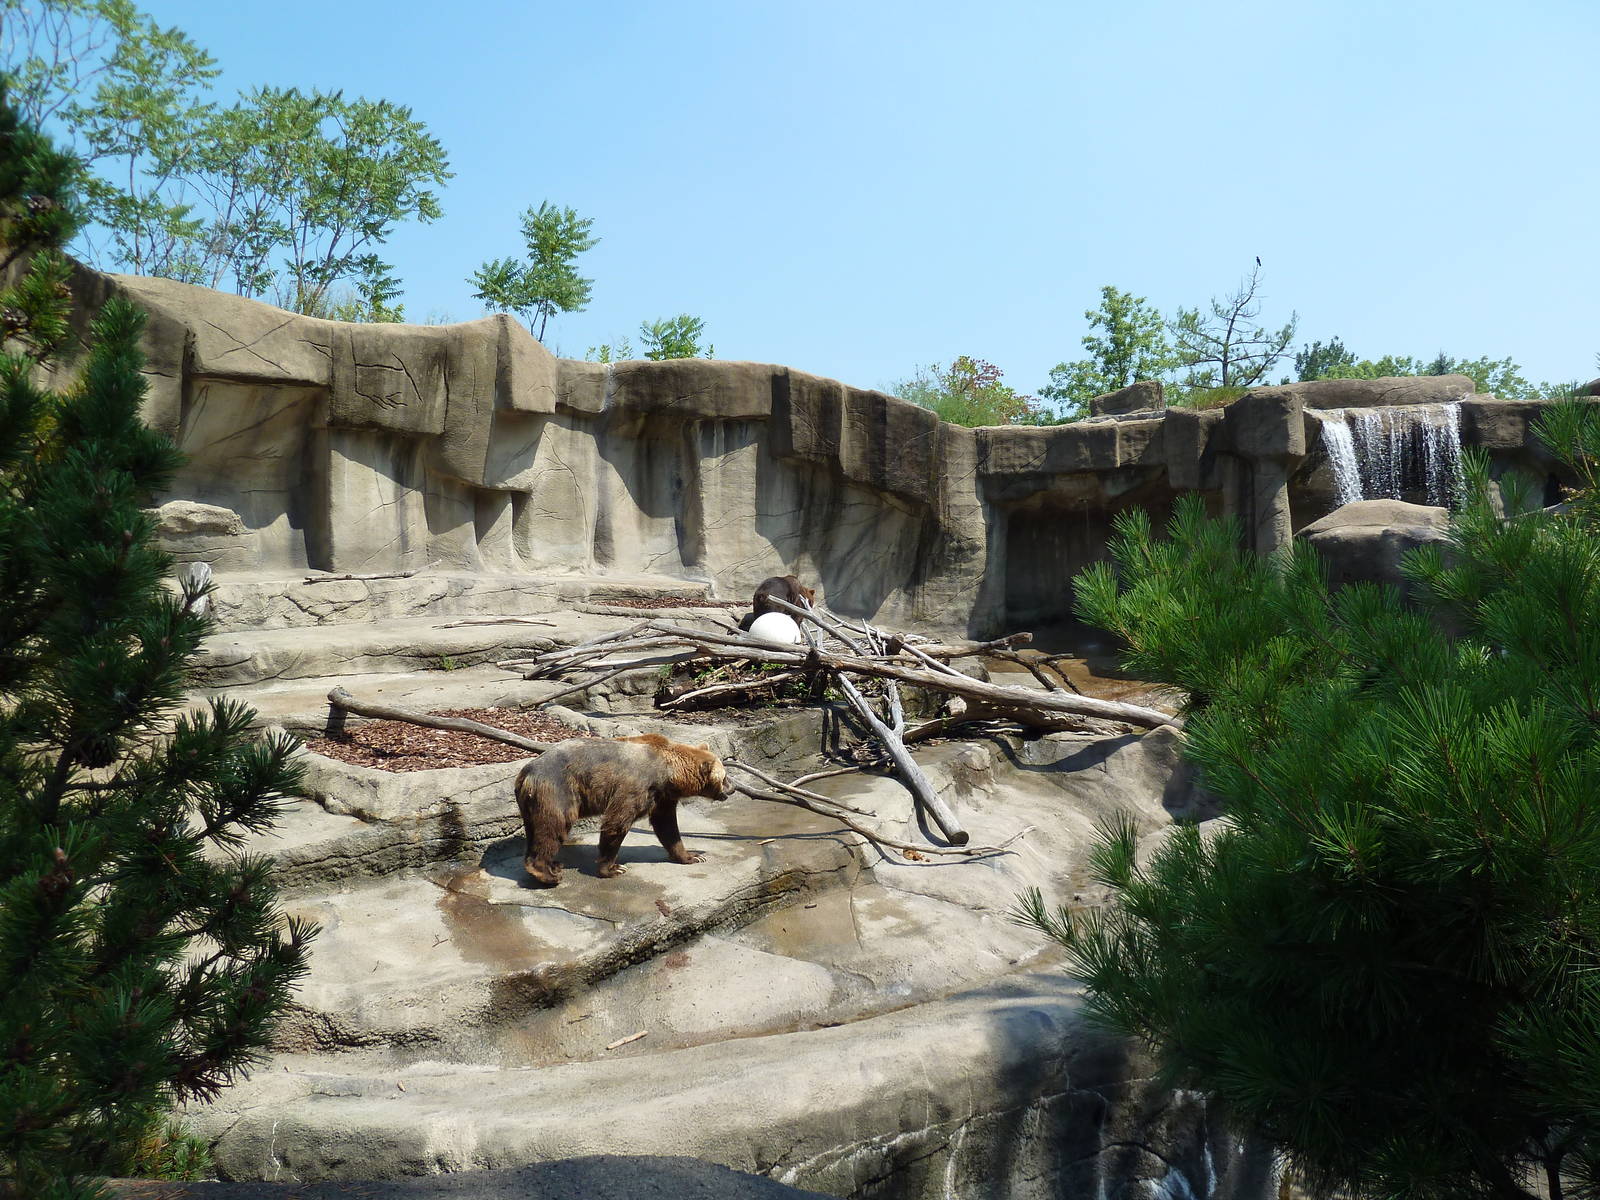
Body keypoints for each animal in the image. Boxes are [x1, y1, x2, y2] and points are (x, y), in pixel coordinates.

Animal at [514, 734, 734, 887]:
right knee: (553, 827)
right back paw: (548, 873)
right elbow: (617, 821)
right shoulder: (636, 784)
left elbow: (667, 825)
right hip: (558, 791)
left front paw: (692, 856)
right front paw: (613, 868)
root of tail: (526, 772)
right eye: (725, 776)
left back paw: (551, 865)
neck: (668, 773)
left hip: (530, 803)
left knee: (535, 830)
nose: (732, 788)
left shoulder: (662, 795)